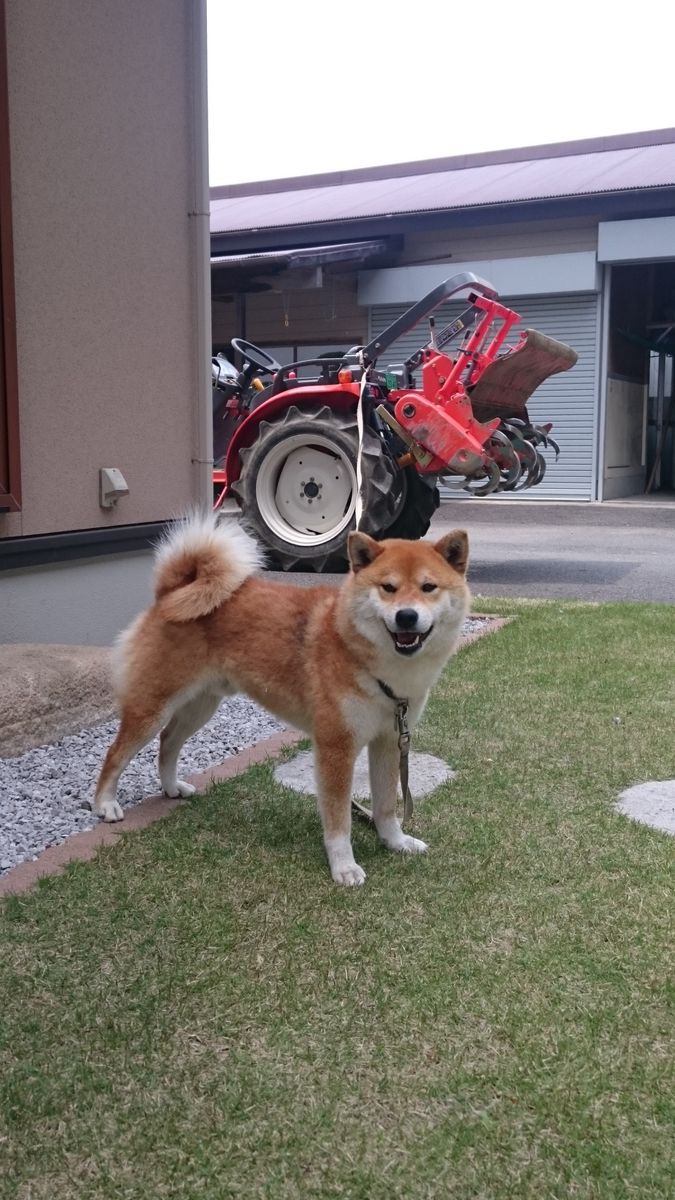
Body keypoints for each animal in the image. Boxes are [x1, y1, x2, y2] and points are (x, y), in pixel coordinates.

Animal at [93, 511, 468, 888]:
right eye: (387, 588)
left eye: (428, 587)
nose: (406, 615)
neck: (376, 666)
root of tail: (171, 593)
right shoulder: (336, 746)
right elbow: (339, 819)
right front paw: (344, 866)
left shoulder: (389, 739)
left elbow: (387, 805)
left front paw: (395, 841)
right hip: (153, 706)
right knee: (116, 754)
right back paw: (105, 805)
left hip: (201, 706)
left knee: (168, 742)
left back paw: (171, 788)